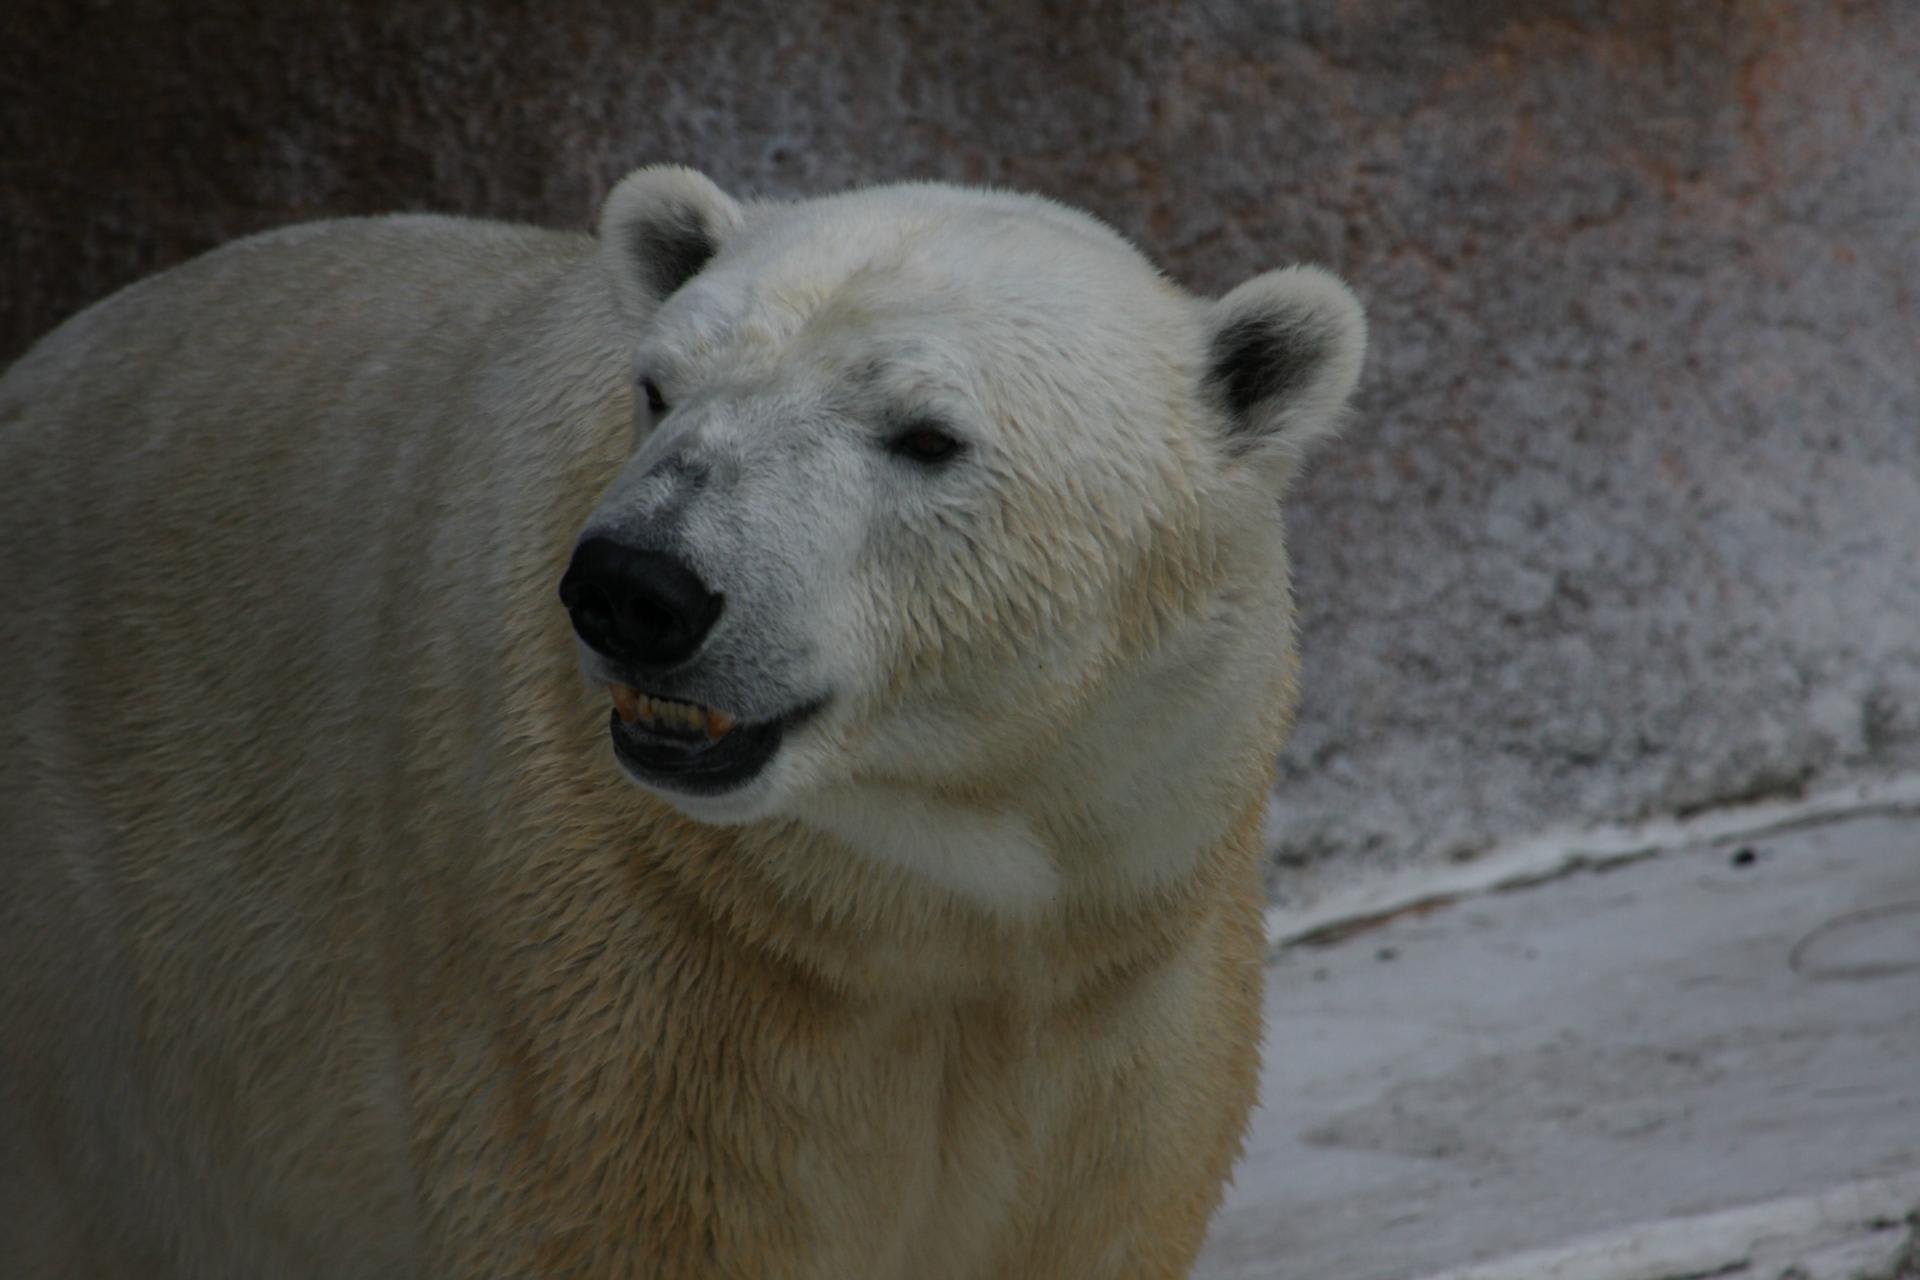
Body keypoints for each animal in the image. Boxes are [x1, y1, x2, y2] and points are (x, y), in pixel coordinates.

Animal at [0, 169, 1367, 1280]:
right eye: (658, 389)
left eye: (926, 434)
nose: (637, 585)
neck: (918, 907)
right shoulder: (625, 971)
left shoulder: (1120, 954)